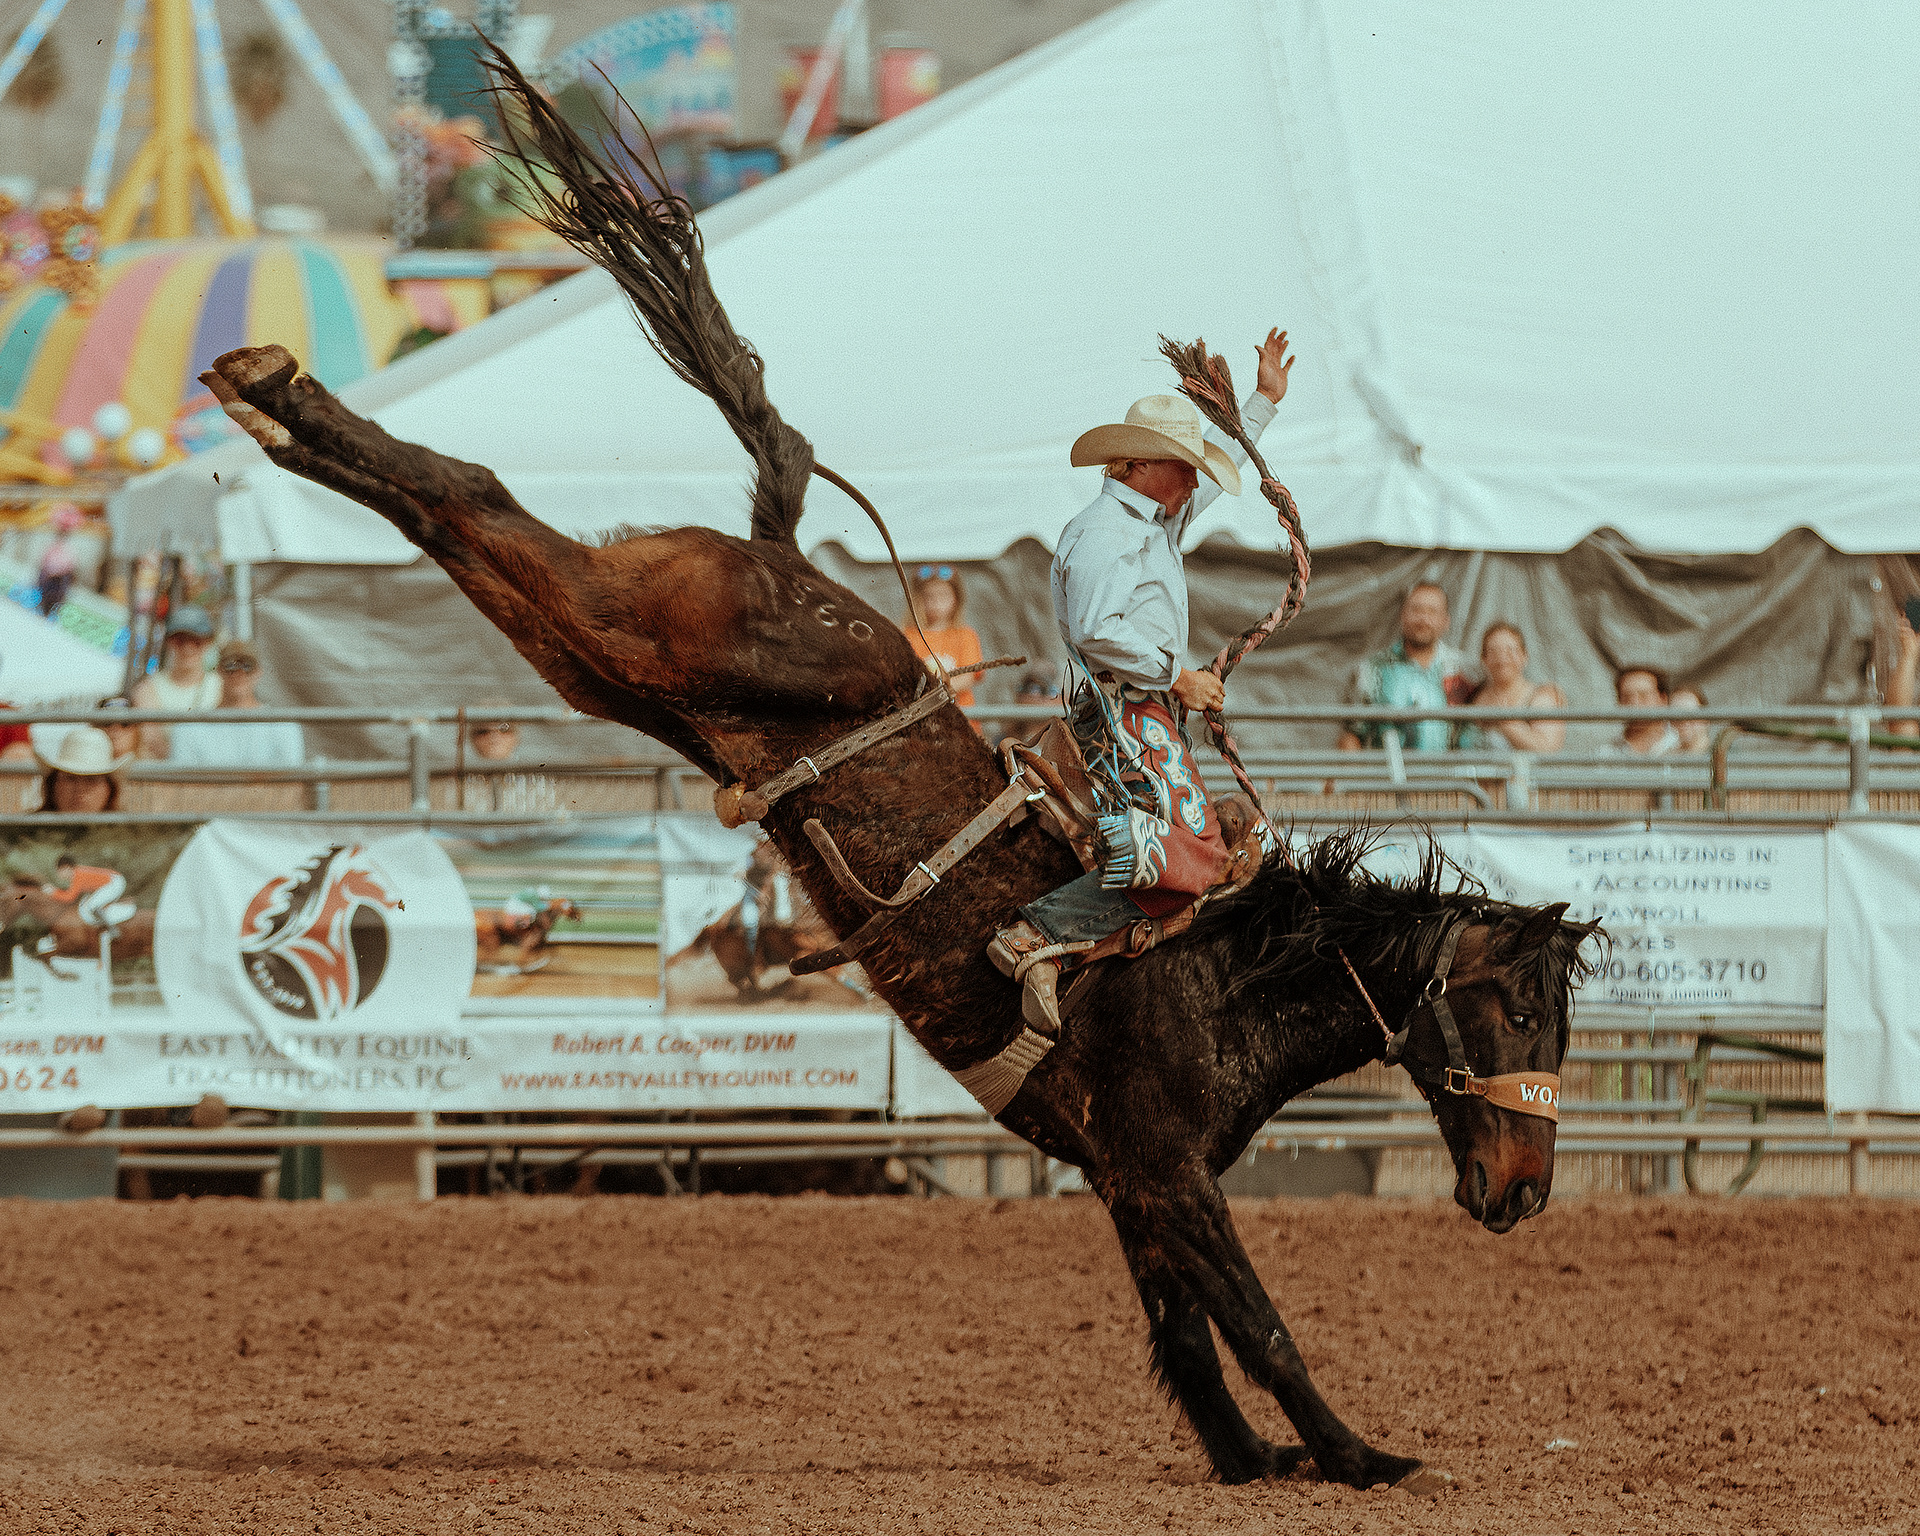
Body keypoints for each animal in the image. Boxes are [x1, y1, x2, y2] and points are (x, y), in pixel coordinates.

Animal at [195, 49, 1602, 1494]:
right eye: (1513, 1013)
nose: (1527, 1193)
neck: (1220, 975)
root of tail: (786, 555)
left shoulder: (1129, 1180)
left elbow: (1186, 1337)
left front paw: (1248, 1457)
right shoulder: (1169, 1171)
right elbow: (1257, 1321)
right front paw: (1360, 1456)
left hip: (609, 663)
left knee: (477, 523)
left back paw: (275, 411)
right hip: (644, 633)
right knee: (471, 491)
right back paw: (275, 386)